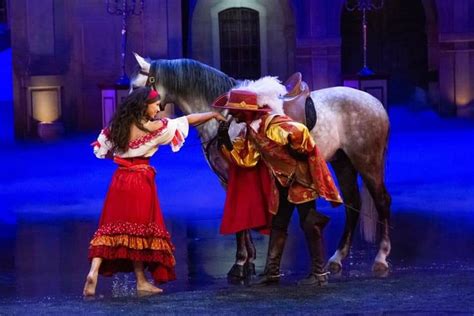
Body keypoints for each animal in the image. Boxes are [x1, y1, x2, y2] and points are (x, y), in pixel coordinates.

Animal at [131, 54, 392, 276]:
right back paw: (337, 258)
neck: (227, 116)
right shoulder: (227, 179)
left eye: (135, 86)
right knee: (353, 204)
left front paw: (239, 263)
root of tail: (375, 103)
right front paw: (248, 260)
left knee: (381, 201)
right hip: (343, 162)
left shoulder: (235, 173)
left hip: (367, 161)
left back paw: (380, 257)